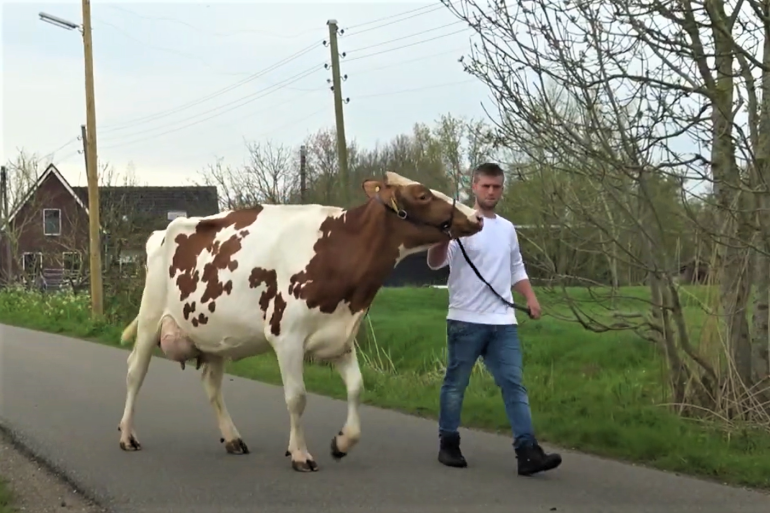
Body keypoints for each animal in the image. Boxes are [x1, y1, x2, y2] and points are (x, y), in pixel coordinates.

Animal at [118, 171, 484, 472]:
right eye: (422, 194)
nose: (478, 216)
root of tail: (160, 232)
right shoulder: (288, 337)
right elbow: (297, 397)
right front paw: (300, 454)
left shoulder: (340, 337)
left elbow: (356, 388)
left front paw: (342, 443)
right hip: (151, 316)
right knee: (135, 372)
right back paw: (127, 436)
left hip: (215, 333)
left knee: (211, 383)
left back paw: (233, 438)